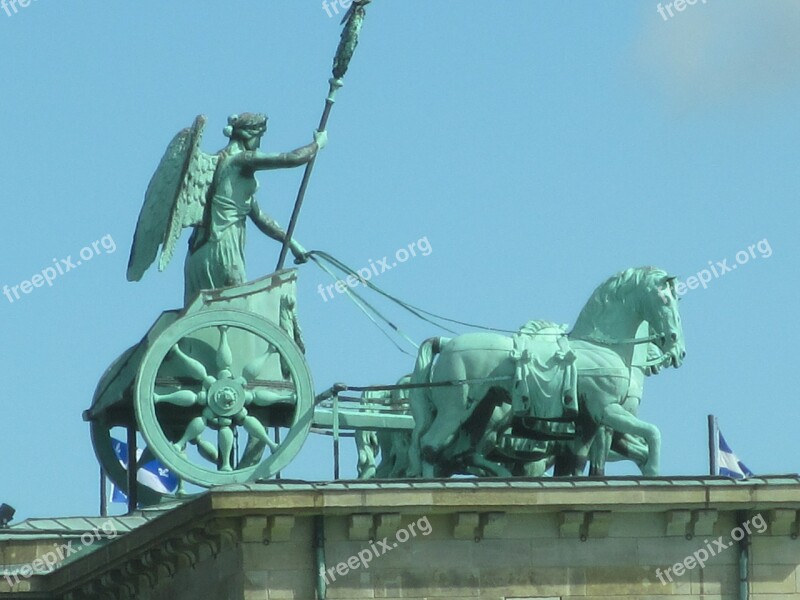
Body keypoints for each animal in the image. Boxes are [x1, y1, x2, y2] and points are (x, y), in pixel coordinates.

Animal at [410, 268, 684, 478]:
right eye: (666, 300)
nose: (677, 349)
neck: (602, 345)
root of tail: (447, 342)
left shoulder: (589, 423)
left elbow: (578, 464)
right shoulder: (606, 411)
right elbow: (652, 433)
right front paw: (653, 473)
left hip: (481, 413)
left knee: (461, 453)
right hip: (457, 409)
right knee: (430, 446)